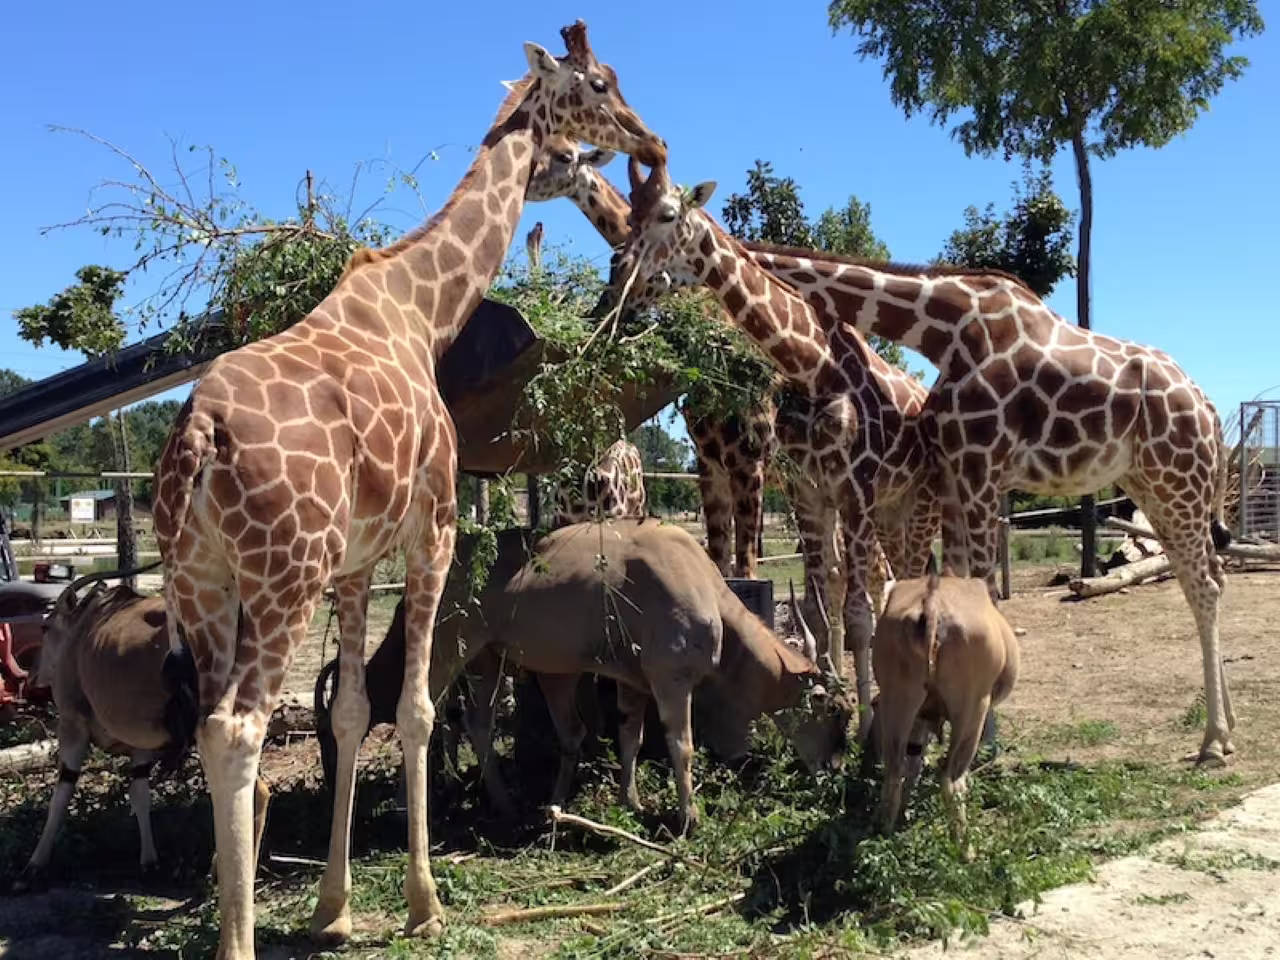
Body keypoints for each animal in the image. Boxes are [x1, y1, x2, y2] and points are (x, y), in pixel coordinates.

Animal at [151, 24, 666, 959]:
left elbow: (354, 710)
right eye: (600, 87)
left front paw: (335, 907)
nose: (644, 145)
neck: (424, 311)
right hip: (282, 577)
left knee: (209, 725)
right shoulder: (435, 526)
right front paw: (425, 904)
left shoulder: (356, 565)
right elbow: (422, 707)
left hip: (202, 581)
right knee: (240, 729)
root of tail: (198, 439)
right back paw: (238, 940)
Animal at [605, 161, 943, 735]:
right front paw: (830, 701)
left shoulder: (851, 490)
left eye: (668, 213)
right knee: (895, 582)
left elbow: (856, 614)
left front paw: (866, 728)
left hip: (921, 506)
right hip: (891, 512)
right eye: (629, 214)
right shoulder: (810, 493)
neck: (811, 366)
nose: (619, 272)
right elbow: (819, 605)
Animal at [744, 241, 1236, 765]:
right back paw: (1226, 730)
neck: (945, 327)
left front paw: (980, 744)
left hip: (1177, 480)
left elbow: (982, 593)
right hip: (1155, 486)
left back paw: (1212, 741)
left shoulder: (976, 466)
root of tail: (1209, 410)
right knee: (1205, 577)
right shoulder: (956, 473)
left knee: (1205, 584)